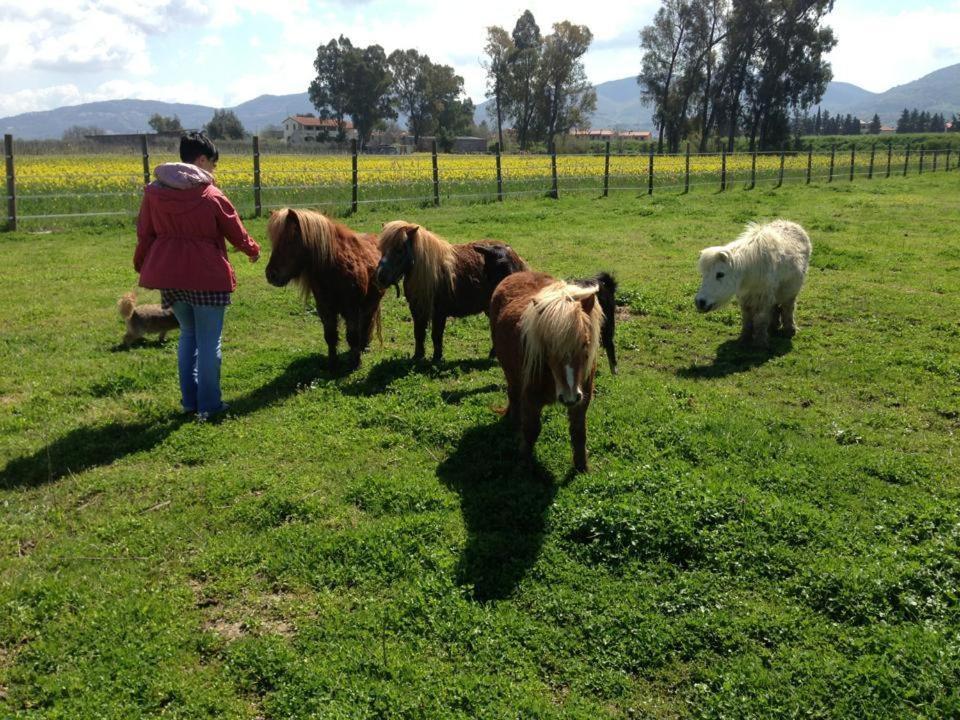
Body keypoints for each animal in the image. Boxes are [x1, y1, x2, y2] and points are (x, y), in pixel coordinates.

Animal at [264, 205, 384, 368]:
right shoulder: (325, 309)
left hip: (371, 303)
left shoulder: (352, 309)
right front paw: (332, 363)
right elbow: (330, 336)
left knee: (366, 322)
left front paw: (354, 362)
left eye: (289, 241)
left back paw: (364, 346)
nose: (271, 275)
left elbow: (352, 336)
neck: (335, 269)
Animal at [374, 219, 524, 362]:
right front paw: (418, 356)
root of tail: (514, 254)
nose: (380, 277)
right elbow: (419, 333)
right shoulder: (417, 310)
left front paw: (437, 358)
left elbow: (436, 335)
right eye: (382, 249)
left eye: (399, 249)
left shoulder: (439, 313)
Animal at [492, 270, 604, 472]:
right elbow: (531, 430)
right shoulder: (530, 398)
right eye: (549, 347)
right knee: (513, 394)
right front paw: (524, 464)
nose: (569, 397)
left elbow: (579, 431)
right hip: (510, 374)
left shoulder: (582, 400)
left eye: (585, 343)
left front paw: (582, 466)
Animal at [696, 219, 808, 348]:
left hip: (790, 293)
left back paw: (789, 330)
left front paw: (760, 344)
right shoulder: (746, 297)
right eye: (703, 274)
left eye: (720, 274)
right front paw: (744, 338)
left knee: (788, 308)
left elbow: (760, 319)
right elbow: (747, 319)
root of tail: (791, 223)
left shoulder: (763, 298)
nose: (700, 302)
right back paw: (773, 327)